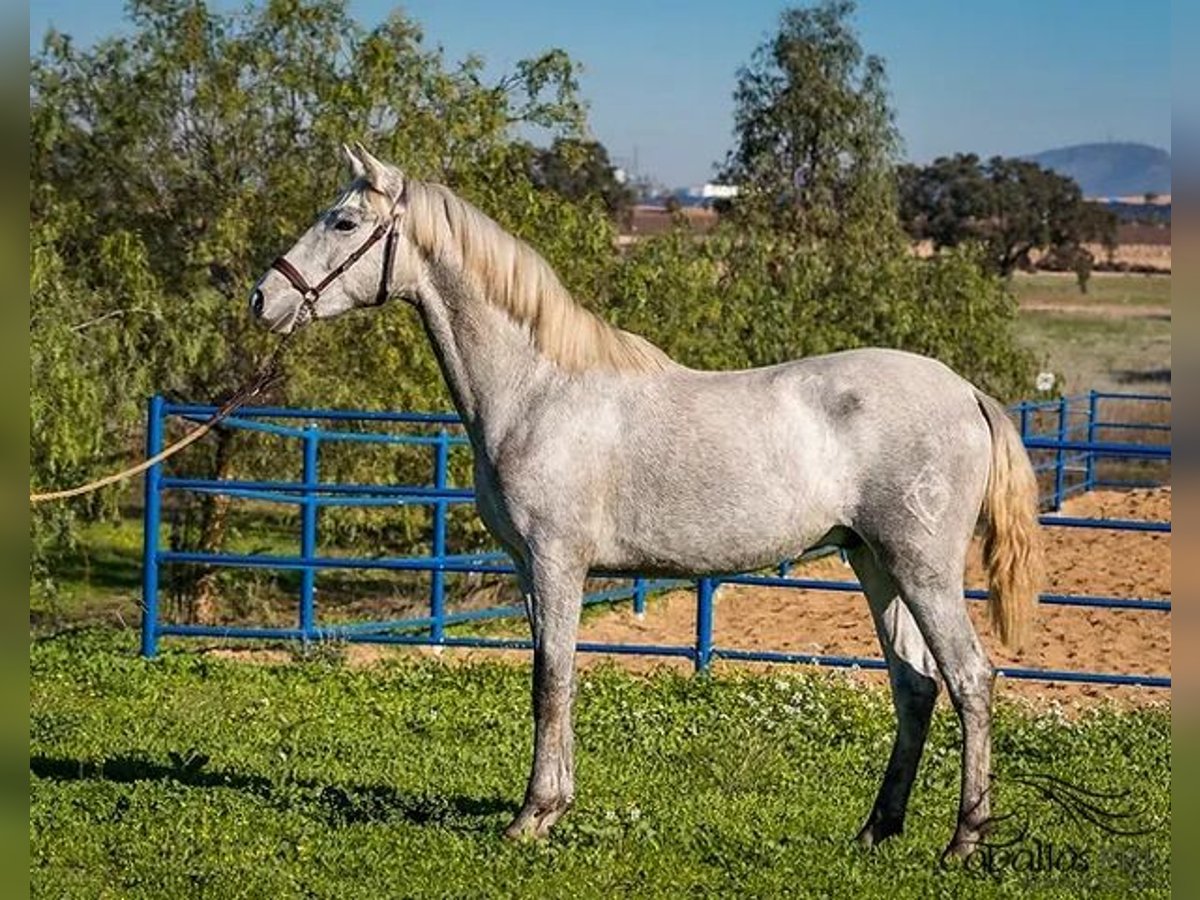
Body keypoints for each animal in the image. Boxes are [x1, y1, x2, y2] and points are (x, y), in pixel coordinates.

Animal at [250, 142, 1041, 859]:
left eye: (345, 221)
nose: (266, 298)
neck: (538, 389)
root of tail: (966, 393)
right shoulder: (532, 569)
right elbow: (554, 673)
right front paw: (555, 806)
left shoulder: (556, 562)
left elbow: (551, 678)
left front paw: (532, 816)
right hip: (874, 565)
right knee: (915, 686)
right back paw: (877, 829)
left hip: (922, 569)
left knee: (970, 679)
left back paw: (963, 841)